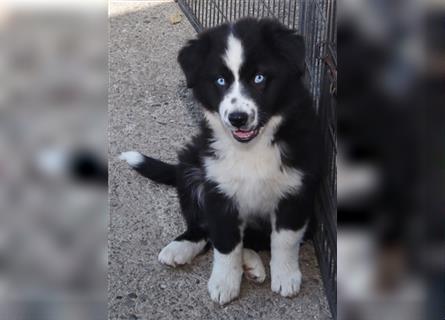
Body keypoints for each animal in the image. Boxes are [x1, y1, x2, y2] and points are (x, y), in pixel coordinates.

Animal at [119, 18, 320, 304]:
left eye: (259, 78)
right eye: (221, 81)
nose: (237, 118)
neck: (250, 149)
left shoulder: (296, 190)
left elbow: (285, 239)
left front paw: (286, 276)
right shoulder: (218, 190)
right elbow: (225, 242)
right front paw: (224, 282)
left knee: (255, 240)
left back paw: (253, 265)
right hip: (191, 167)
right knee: (204, 228)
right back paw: (182, 247)